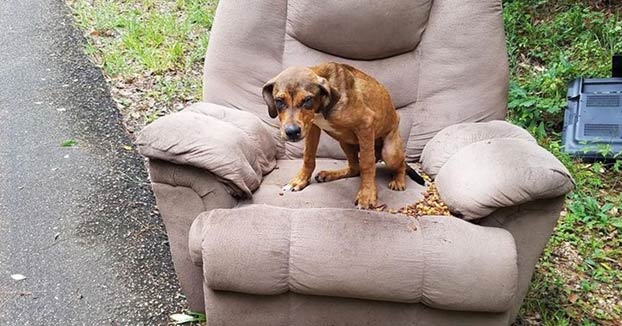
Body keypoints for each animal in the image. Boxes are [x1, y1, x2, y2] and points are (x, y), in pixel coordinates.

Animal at [260, 61, 426, 209]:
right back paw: (329, 174)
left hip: (389, 152)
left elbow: (367, 164)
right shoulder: (312, 127)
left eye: (308, 100)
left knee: (399, 165)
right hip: (345, 142)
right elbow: (308, 157)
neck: (322, 107)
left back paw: (398, 180)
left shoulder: (366, 125)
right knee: (354, 168)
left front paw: (367, 195)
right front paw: (300, 180)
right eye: (279, 101)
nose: (292, 132)